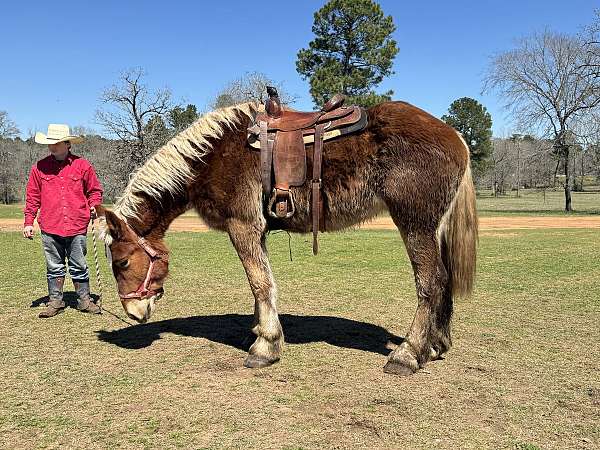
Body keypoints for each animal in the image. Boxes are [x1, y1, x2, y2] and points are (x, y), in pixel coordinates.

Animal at [95, 99, 478, 376]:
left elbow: (260, 284)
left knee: (430, 282)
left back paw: (407, 354)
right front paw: (260, 331)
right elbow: (261, 286)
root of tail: (456, 136)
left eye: (123, 262)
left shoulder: (242, 226)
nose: (133, 312)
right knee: (443, 280)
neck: (212, 156)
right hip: (432, 228)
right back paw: (435, 345)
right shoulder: (257, 231)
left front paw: (265, 347)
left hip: (414, 224)